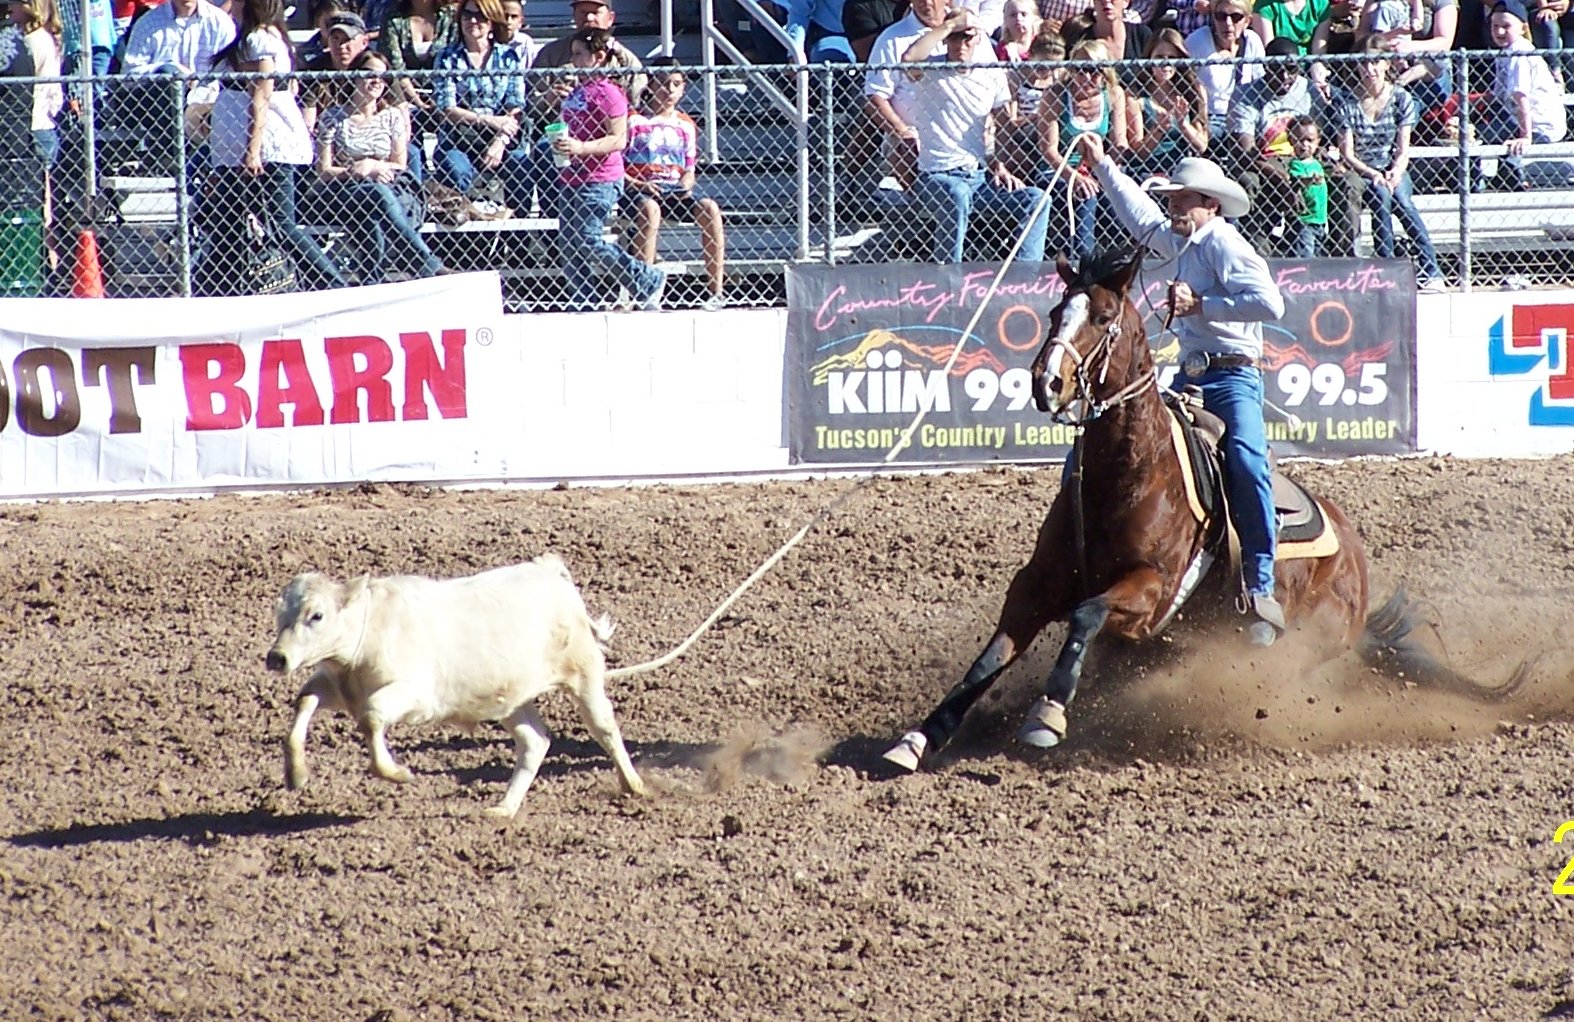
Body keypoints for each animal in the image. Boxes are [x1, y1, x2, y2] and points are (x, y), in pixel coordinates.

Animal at [267, 554, 648, 818]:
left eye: (316, 615)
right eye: (280, 615)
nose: (277, 658)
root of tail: (549, 571)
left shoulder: (416, 697)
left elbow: (371, 716)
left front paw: (396, 773)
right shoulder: (336, 688)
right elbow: (305, 701)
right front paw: (296, 773)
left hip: (584, 675)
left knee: (605, 729)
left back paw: (635, 785)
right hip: (511, 699)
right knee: (535, 741)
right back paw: (504, 809)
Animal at [887, 248, 1523, 774]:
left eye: (1102, 318)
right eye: (1052, 313)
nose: (1047, 382)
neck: (1126, 473)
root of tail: (1356, 566)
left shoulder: (1151, 593)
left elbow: (1086, 615)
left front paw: (1046, 714)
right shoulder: (1037, 583)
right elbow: (991, 655)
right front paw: (921, 737)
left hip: (1302, 642)